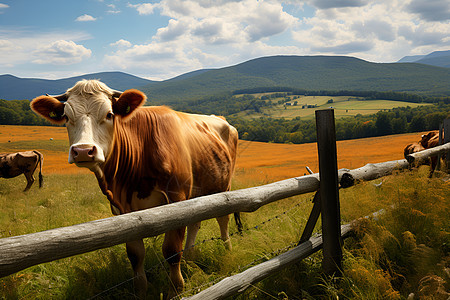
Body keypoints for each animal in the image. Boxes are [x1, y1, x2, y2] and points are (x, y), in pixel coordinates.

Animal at [31, 79, 239, 298]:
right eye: (67, 117)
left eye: (109, 114)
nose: (83, 151)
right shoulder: (124, 209)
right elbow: (135, 254)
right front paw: (141, 290)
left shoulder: (177, 197)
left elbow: (172, 251)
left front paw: (176, 289)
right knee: (195, 223)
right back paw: (190, 257)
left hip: (223, 187)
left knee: (223, 219)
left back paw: (227, 250)